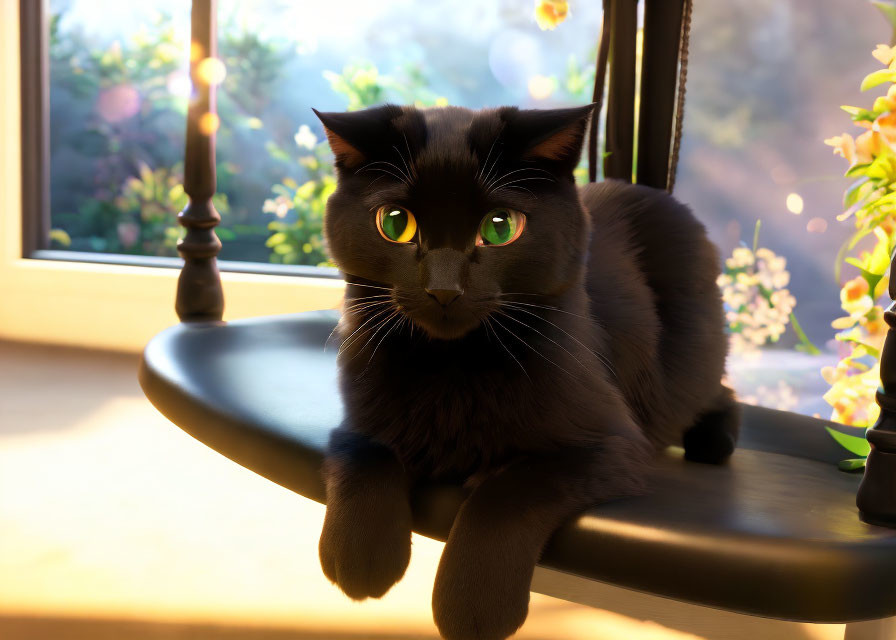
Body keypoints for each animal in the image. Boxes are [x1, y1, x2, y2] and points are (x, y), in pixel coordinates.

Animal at [314, 105, 736, 640]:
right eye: (394, 223)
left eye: (500, 227)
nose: (444, 289)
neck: (452, 369)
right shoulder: (361, 410)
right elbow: (359, 450)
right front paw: (360, 556)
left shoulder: (610, 444)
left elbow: (506, 493)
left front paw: (473, 604)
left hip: (686, 368)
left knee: (719, 391)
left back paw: (715, 442)